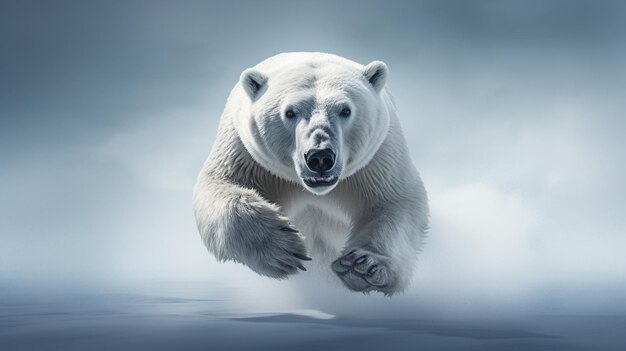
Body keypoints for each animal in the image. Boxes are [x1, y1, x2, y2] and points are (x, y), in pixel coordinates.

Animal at [194, 51, 428, 294]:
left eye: (345, 110)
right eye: (289, 112)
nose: (320, 157)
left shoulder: (377, 159)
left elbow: (395, 201)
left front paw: (363, 265)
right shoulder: (247, 154)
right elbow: (221, 186)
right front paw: (284, 248)